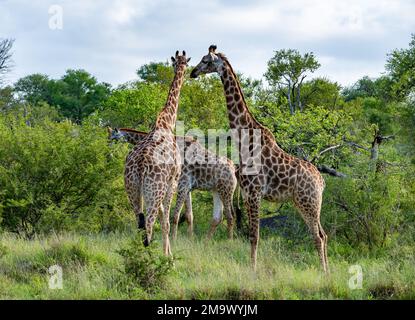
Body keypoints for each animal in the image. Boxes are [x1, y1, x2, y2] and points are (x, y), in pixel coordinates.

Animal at [107, 127, 237, 240]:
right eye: (107, 139)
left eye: (113, 139)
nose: (108, 155)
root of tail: (234, 168)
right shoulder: (187, 188)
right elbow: (189, 216)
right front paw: (190, 239)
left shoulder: (182, 185)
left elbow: (175, 216)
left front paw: (174, 239)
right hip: (217, 190)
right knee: (217, 217)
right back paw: (206, 241)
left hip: (227, 190)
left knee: (230, 216)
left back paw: (229, 241)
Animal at [123, 50, 188, 255]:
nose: (182, 68)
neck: (167, 123)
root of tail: (141, 165)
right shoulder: (173, 181)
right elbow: (166, 221)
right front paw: (169, 258)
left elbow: (162, 218)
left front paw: (167, 254)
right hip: (154, 189)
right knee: (149, 227)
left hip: (133, 189)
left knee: (140, 225)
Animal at [190, 46, 330, 274]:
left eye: (205, 60)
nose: (193, 72)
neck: (244, 138)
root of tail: (322, 181)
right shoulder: (247, 193)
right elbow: (252, 235)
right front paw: (252, 267)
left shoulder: (254, 192)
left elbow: (254, 236)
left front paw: (252, 270)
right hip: (305, 202)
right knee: (324, 235)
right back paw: (327, 271)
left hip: (308, 201)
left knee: (317, 237)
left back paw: (324, 273)